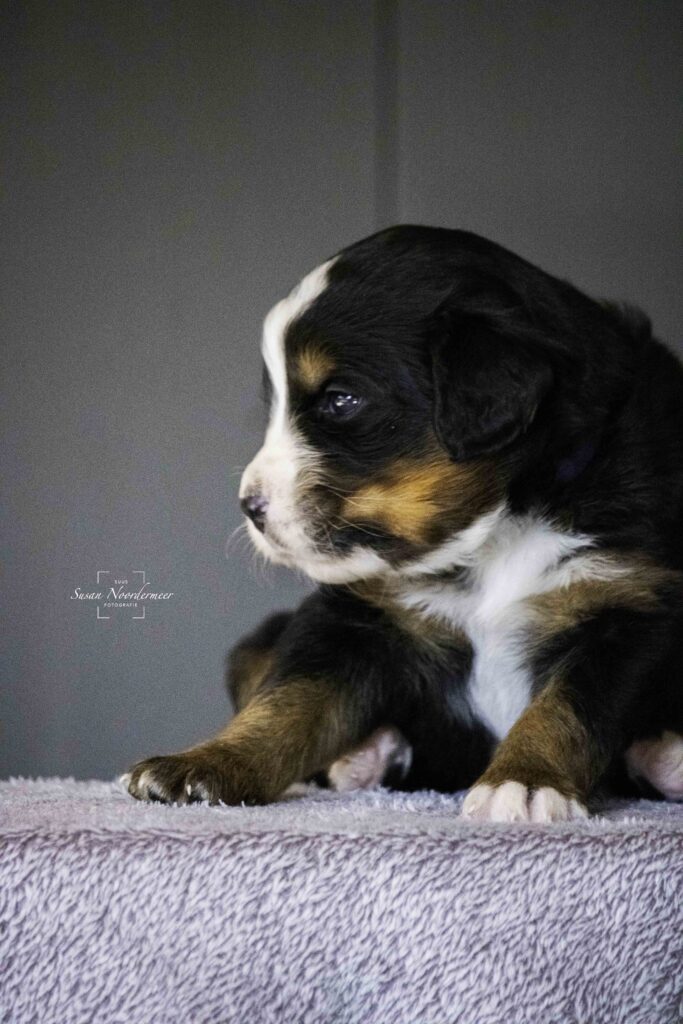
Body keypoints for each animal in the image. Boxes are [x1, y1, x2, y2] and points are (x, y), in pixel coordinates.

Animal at [125, 226, 683, 822]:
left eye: (340, 400)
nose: (249, 505)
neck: (494, 530)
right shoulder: (353, 620)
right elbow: (287, 700)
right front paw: (201, 765)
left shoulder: (628, 608)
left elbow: (569, 707)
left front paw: (526, 783)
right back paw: (366, 755)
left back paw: (666, 759)